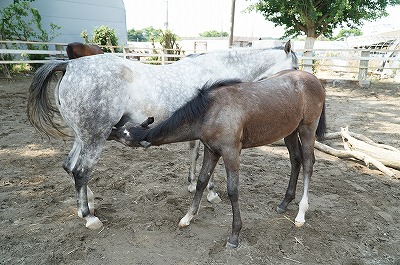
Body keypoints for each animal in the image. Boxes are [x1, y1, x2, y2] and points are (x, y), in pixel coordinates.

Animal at [27, 41, 296, 229]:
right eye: (294, 66)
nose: (296, 80)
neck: (219, 68)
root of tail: (69, 65)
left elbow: (194, 153)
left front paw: (193, 185)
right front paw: (210, 193)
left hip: (82, 137)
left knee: (69, 166)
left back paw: (88, 203)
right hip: (94, 138)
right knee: (81, 171)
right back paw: (89, 217)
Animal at [118, 70, 324, 248]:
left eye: (123, 135)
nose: (113, 129)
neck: (211, 111)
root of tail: (314, 79)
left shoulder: (231, 152)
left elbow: (232, 191)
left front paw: (234, 235)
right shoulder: (211, 151)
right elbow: (202, 181)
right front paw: (187, 217)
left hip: (307, 129)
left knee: (308, 163)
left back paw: (301, 214)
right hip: (290, 132)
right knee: (295, 160)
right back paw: (284, 202)